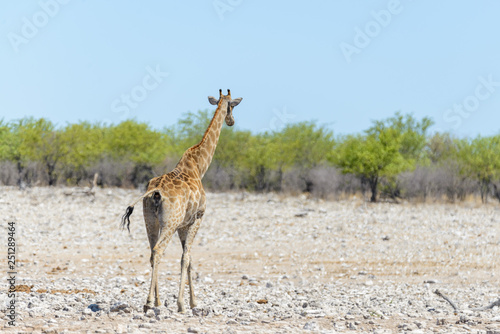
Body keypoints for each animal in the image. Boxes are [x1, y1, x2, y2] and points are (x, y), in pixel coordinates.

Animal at [121, 88, 242, 314]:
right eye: (232, 105)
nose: (231, 121)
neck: (199, 167)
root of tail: (155, 192)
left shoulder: (182, 224)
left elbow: (190, 258)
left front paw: (192, 302)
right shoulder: (197, 218)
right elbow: (186, 258)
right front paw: (183, 304)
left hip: (151, 221)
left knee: (152, 252)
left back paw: (157, 302)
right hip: (169, 222)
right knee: (159, 251)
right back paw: (149, 302)